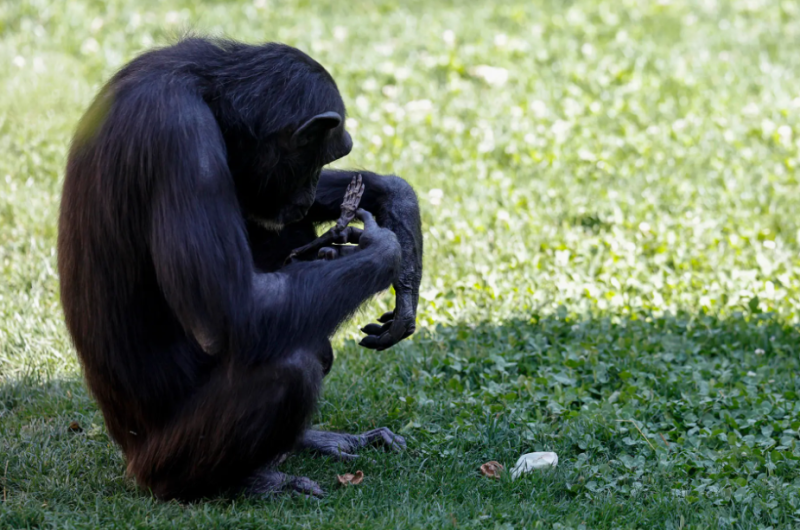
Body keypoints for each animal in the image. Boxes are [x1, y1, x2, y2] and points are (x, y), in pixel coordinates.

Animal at [58, 38, 422, 500]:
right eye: (318, 157)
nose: (307, 195)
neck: (205, 91)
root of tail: (129, 457)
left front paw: (399, 211)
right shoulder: (182, 140)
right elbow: (236, 309)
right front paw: (385, 249)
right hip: (162, 457)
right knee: (291, 368)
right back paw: (253, 479)